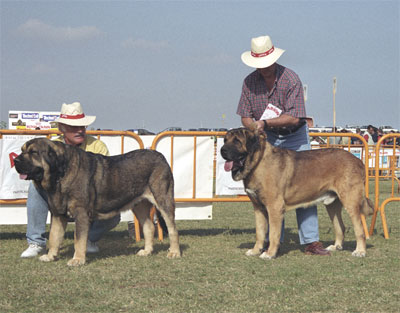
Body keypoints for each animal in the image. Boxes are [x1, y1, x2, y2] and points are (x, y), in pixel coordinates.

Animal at [14, 138, 181, 264]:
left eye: (33, 152)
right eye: (22, 151)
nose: (15, 160)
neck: (60, 173)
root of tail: (160, 156)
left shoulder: (81, 214)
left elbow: (79, 239)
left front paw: (78, 259)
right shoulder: (58, 214)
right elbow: (54, 237)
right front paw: (50, 256)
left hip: (163, 199)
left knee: (172, 228)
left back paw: (174, 252)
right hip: (139, 205)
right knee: (149, 227)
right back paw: (146, 251)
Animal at [220, 124, 374, 258]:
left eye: (237, 141)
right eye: (225, 140)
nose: (222, 150)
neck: (257, 162)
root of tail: (358, 161)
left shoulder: (274, 207)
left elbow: (273, 234)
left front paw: (269, 254)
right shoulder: (258, 208)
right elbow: (260, 233)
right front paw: (255, 251)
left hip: (350, 202)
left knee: (359, 229)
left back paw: (360, 251)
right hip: (332, 204)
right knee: (340, 226)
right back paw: (336, 246)